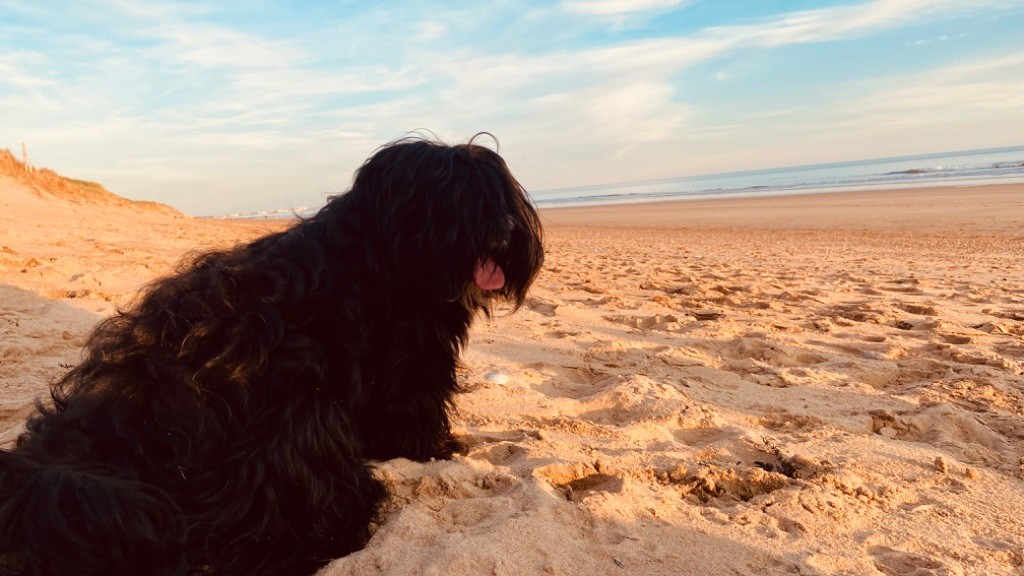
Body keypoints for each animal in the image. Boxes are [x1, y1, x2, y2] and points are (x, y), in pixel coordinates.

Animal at [0, 136, 544, 576]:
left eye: (499, 195)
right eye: (450, 200)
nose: (503, 233)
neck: (378, 249)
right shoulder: (411, 358)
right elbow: (414, 408)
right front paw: (436, 448)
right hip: (301, 410)